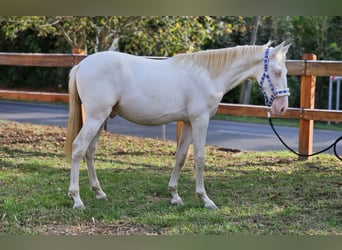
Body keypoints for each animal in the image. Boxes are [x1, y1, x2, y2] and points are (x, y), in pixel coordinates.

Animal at [65, 41, 290, 209]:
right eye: (278, 72)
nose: (281, 108)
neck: (209, 75)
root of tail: (82, 65)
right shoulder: (200, 120)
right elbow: (199, 158)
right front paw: (206, 199)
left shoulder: (189, 122)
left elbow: (181, 157)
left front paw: (175, 196)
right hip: (95, 117)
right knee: (78, 148)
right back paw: (77, 199)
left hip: (100, 118)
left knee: (89, 151)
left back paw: (99, 192)